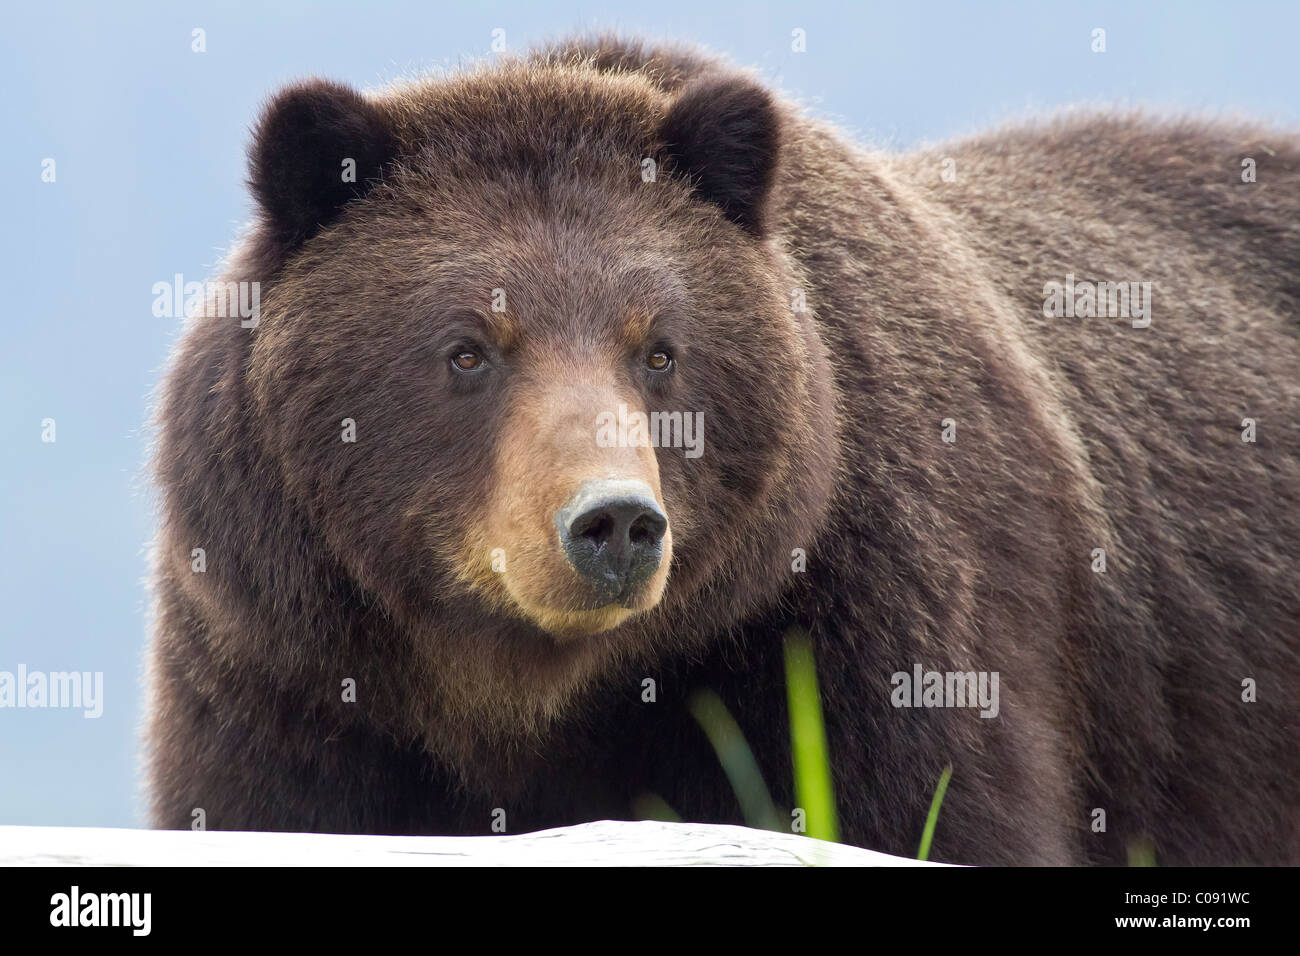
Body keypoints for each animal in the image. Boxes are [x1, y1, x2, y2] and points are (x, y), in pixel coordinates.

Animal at [147, 35, 1300, 868]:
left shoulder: (857, 625)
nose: (612, 521)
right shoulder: (287, 676)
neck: (524, 691)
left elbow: (934, 806)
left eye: (659, 347)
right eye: (468, 347)